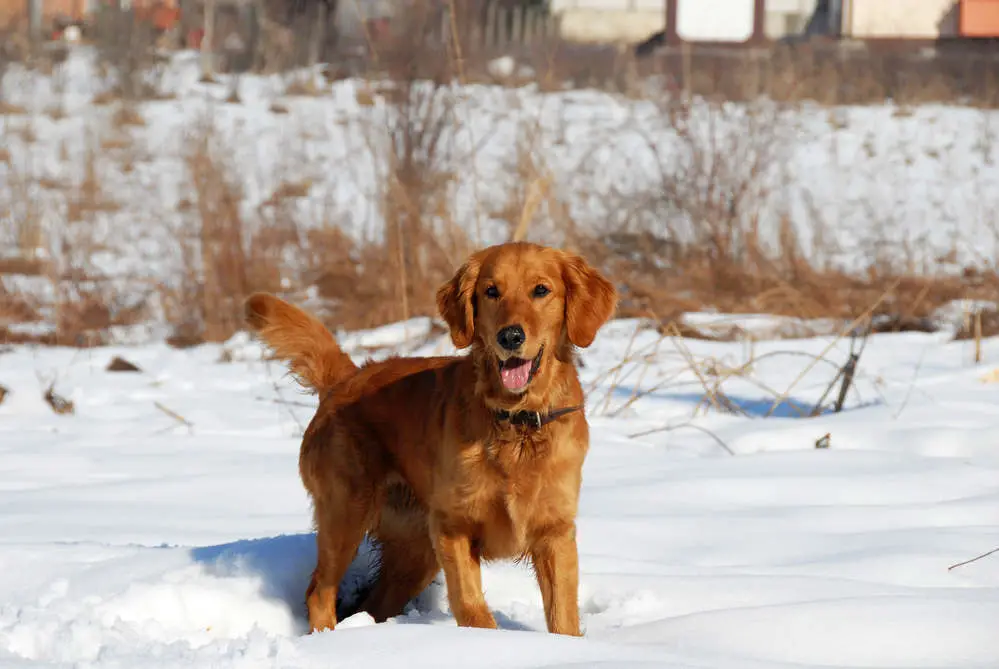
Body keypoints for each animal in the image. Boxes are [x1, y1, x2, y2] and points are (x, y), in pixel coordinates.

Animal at [244, 241, 616, 636]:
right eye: (491, 291)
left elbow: (564, 618)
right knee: (319, 592)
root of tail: (347, 378)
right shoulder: (453, 526)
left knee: (374, 602)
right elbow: (472, 608)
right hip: (345, 512)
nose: (510, 337)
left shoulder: (555, 532)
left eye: (541, 290)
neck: (517, 422)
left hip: (414, 550)